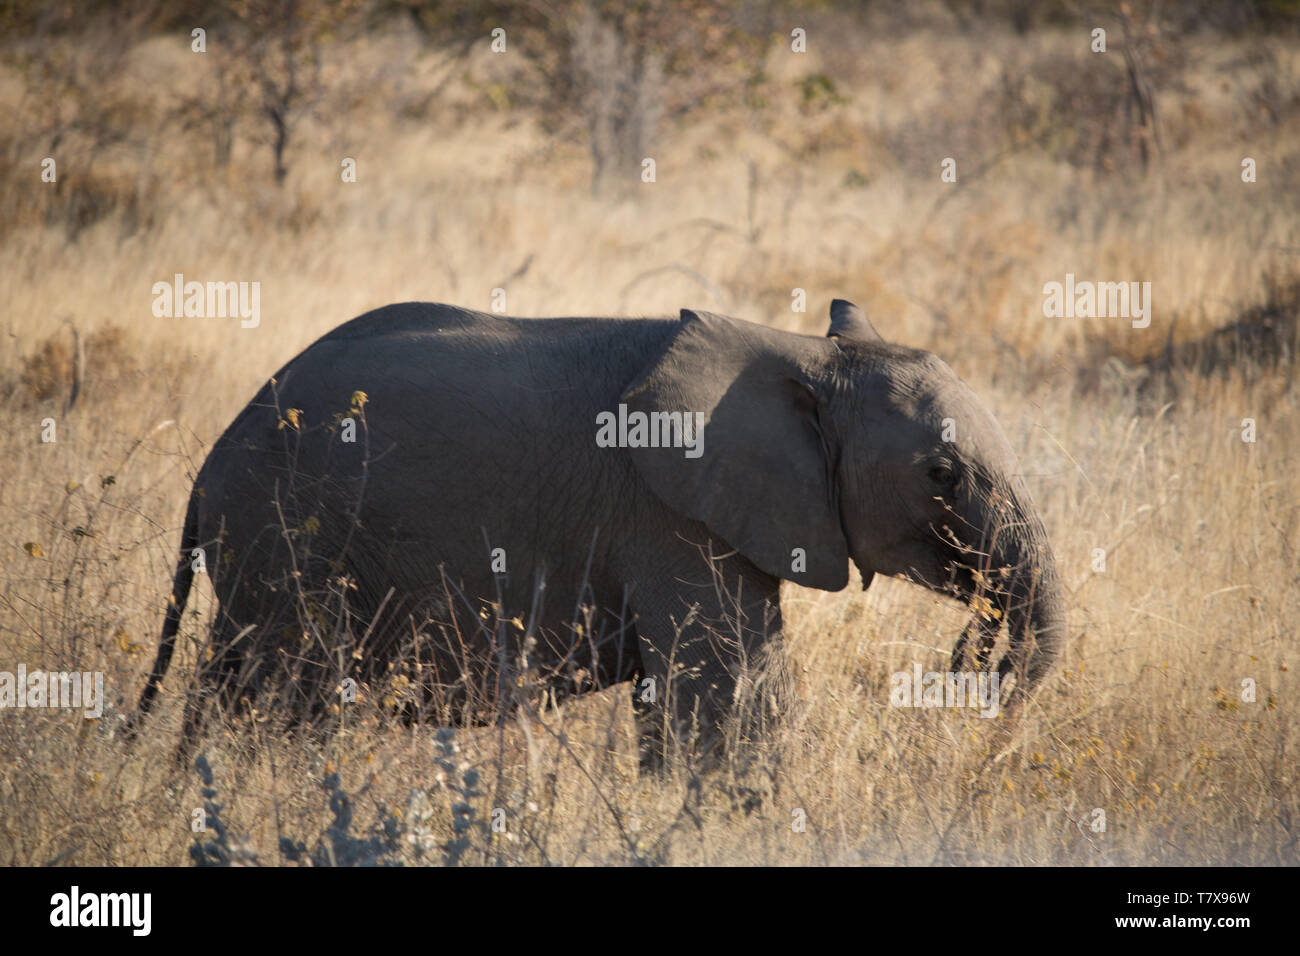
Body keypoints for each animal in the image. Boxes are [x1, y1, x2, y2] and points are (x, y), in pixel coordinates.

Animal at [134, 299, 1066, 764]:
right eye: (942, 474)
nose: (974, 662)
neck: (800, 355)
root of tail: (207, 469)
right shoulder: (669, 512)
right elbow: (731, 691)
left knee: (232, 686)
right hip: (288, 536)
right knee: (288, 697)